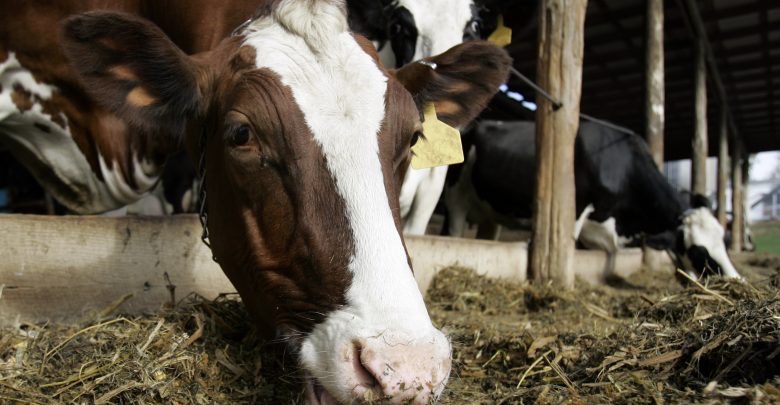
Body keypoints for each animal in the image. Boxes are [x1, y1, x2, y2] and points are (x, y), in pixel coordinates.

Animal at [444, 120, 742, 282]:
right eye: (698, 251)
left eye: (725, 240)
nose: (736, 279)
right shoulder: (576, 211)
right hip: (456, 199)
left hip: (490, 214)